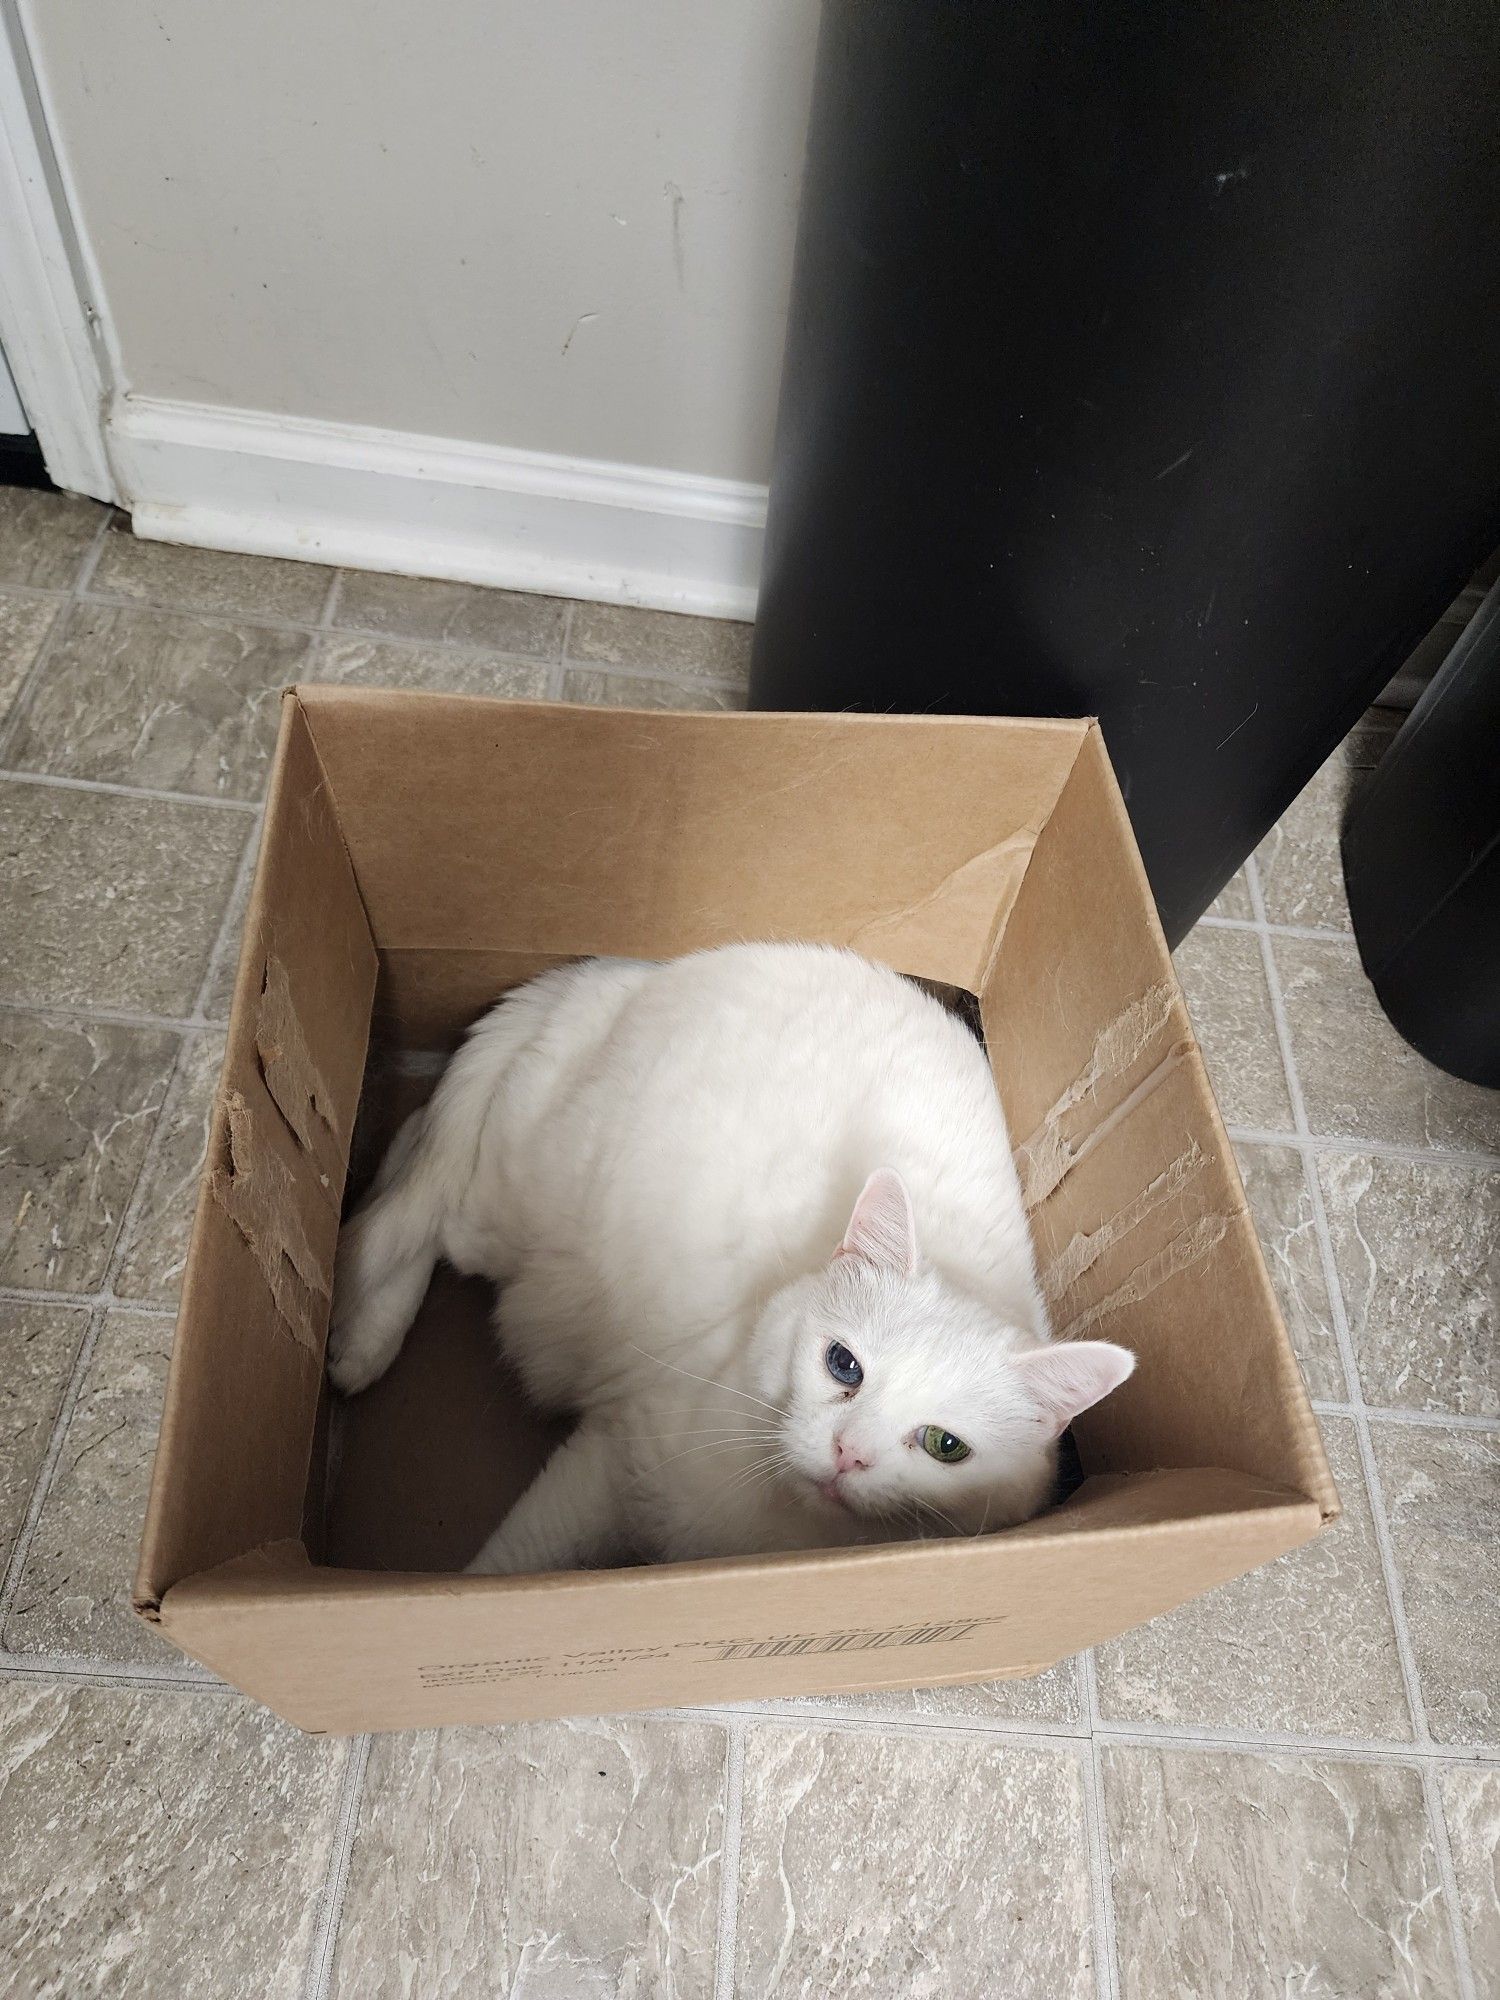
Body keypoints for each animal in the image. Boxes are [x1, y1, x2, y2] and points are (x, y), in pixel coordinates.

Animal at [326, 948, 1128, 1576]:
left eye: (945, 1446)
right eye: (844, 1367)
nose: (849, 1454)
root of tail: (622, 974)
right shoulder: (615, 1455)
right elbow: (507, 1570)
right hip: (518, 1217)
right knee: (419, 1170)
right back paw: (360, 1338)